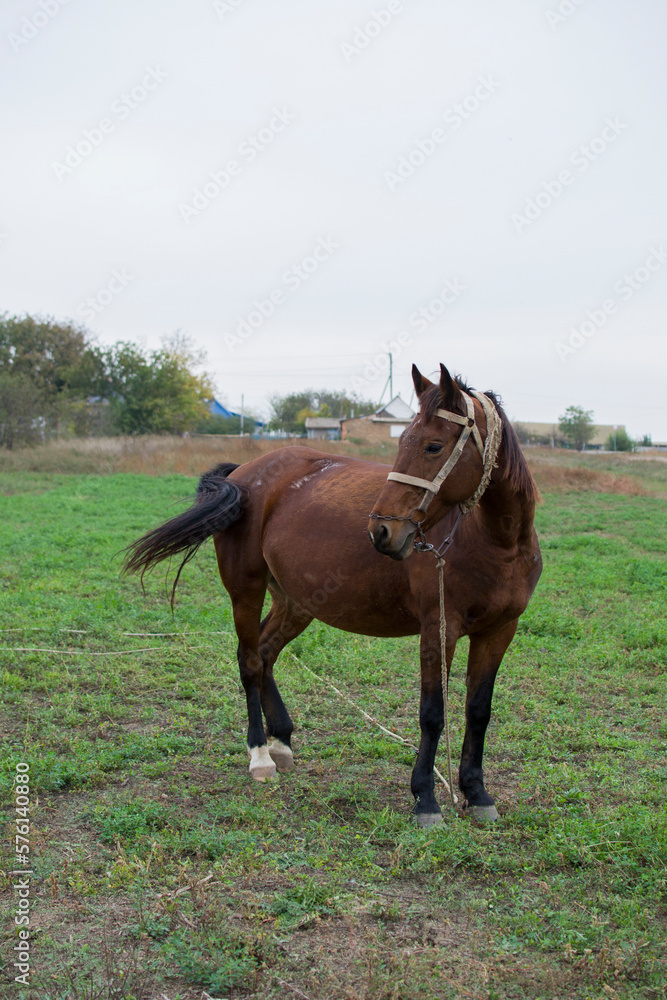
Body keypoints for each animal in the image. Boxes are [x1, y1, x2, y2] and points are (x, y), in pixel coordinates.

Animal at [124, 364, 542, 825]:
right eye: (402, 440)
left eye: (434, 446)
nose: (382, 531)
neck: (497, 543)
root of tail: (245, 472)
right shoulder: (438, 629)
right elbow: (433, 714)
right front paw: (426, 798)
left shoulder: (499, 631)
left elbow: (478, 711)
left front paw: (477, 793)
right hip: (245, 589)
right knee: (250, 661)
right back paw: (260, 754)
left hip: (297, 601)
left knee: (266, 653)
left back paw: (282, 741)